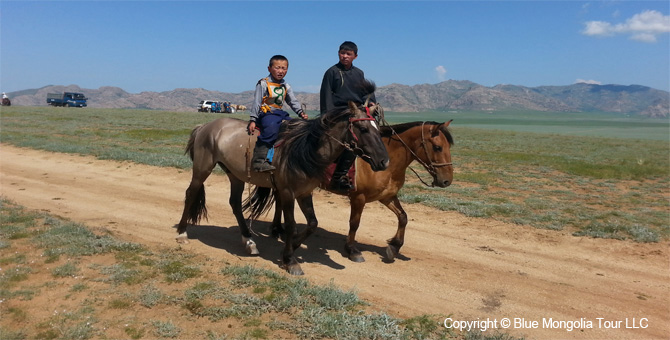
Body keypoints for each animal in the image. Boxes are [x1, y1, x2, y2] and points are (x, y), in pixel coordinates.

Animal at [177, 86, 394, 274]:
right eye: (363, 129)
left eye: (378, 128)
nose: (384, 161)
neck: (305, 149)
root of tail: (205, 126)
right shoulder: (288, 192)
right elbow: (290, 224)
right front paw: (290, 260)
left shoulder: (305, 192)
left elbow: (312, 223)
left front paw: (292, 247)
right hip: (202, 168)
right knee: (191, 193)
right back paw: (181, 233)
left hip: (235, 174)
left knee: (235, 204)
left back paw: (249, 242)